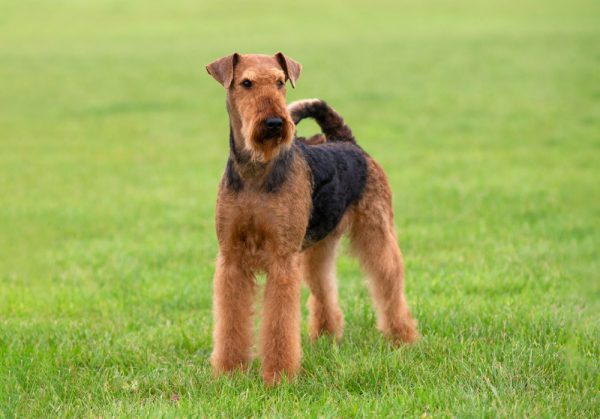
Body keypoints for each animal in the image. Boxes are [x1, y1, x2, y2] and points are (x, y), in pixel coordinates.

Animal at [205, 53, 418, 388]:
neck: (256, 172)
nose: (275, 123)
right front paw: (229, 372)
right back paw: (327, 335)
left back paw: (402, 337)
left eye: (280, 82)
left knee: (389, 282)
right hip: (319, 246)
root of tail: (347, 141)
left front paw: (279, 377)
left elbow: (279, 325)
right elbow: (231, 321)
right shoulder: (232, 259)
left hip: (377, 230)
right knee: (324, 286)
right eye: (246, 83)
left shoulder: (281, 260)